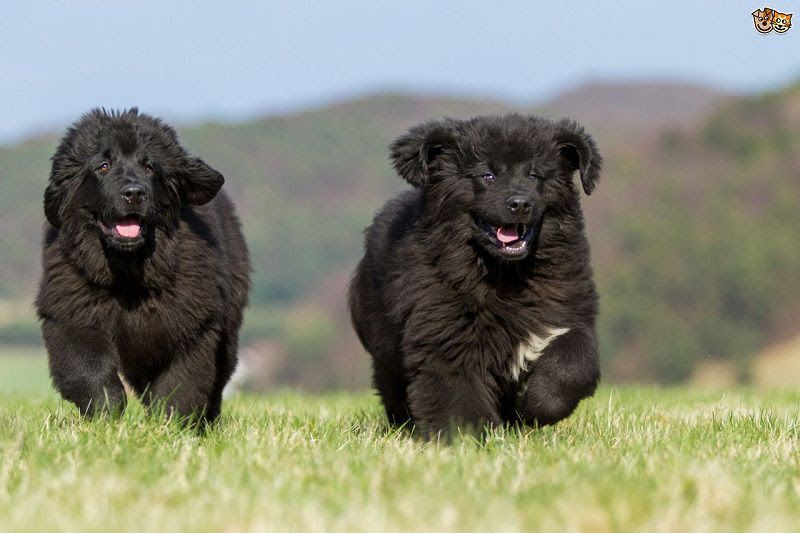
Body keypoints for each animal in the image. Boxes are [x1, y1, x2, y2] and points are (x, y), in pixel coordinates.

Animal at [36, 109, 248, 424]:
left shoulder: (191, 325)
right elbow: (89, 368)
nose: (133, 193)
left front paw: (170, 424)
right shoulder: (72, 314)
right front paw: (106, 413)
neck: (129, 276)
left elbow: (181, 382)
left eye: (149, 167)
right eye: (103, 166)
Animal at [346, 114, 604, 434]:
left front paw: (535, 406)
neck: (506, 275)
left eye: (534, 175)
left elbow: (573, 364)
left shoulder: (566, 314)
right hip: (385, 347)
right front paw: (467, 435)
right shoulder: (445, 332)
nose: (520, 203)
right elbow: (457, 392)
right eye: (487, 175)